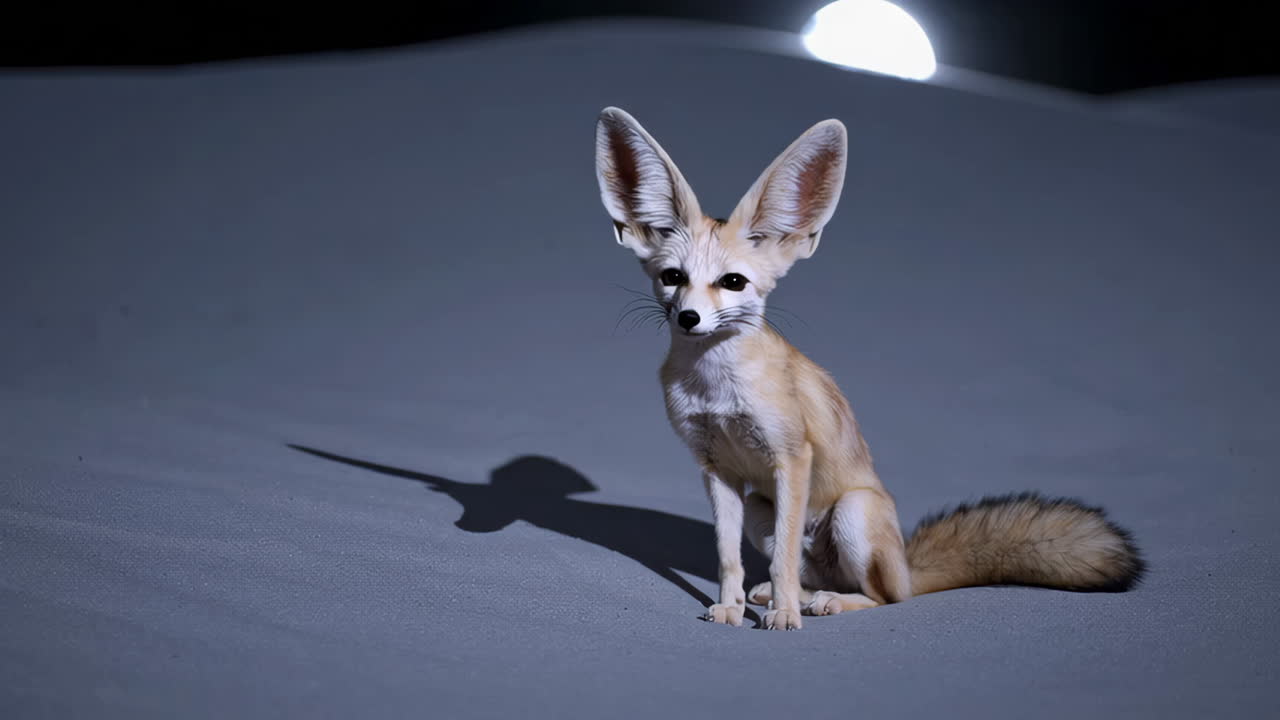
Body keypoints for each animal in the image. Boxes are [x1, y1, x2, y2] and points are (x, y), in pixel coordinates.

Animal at [593, 106, 1145, 630]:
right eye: (673, 277)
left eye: (732, 282)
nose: (689, 318)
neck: (716, 390)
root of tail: (907, 568)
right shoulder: (717, 469)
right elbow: (730, 558)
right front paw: (731, 607)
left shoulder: (792, 457)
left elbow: (783, 560)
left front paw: (785, 618)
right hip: (759, 511)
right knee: (816, 576)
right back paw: (792, 596)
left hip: (852, 514)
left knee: (883, 597)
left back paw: (824, 603)